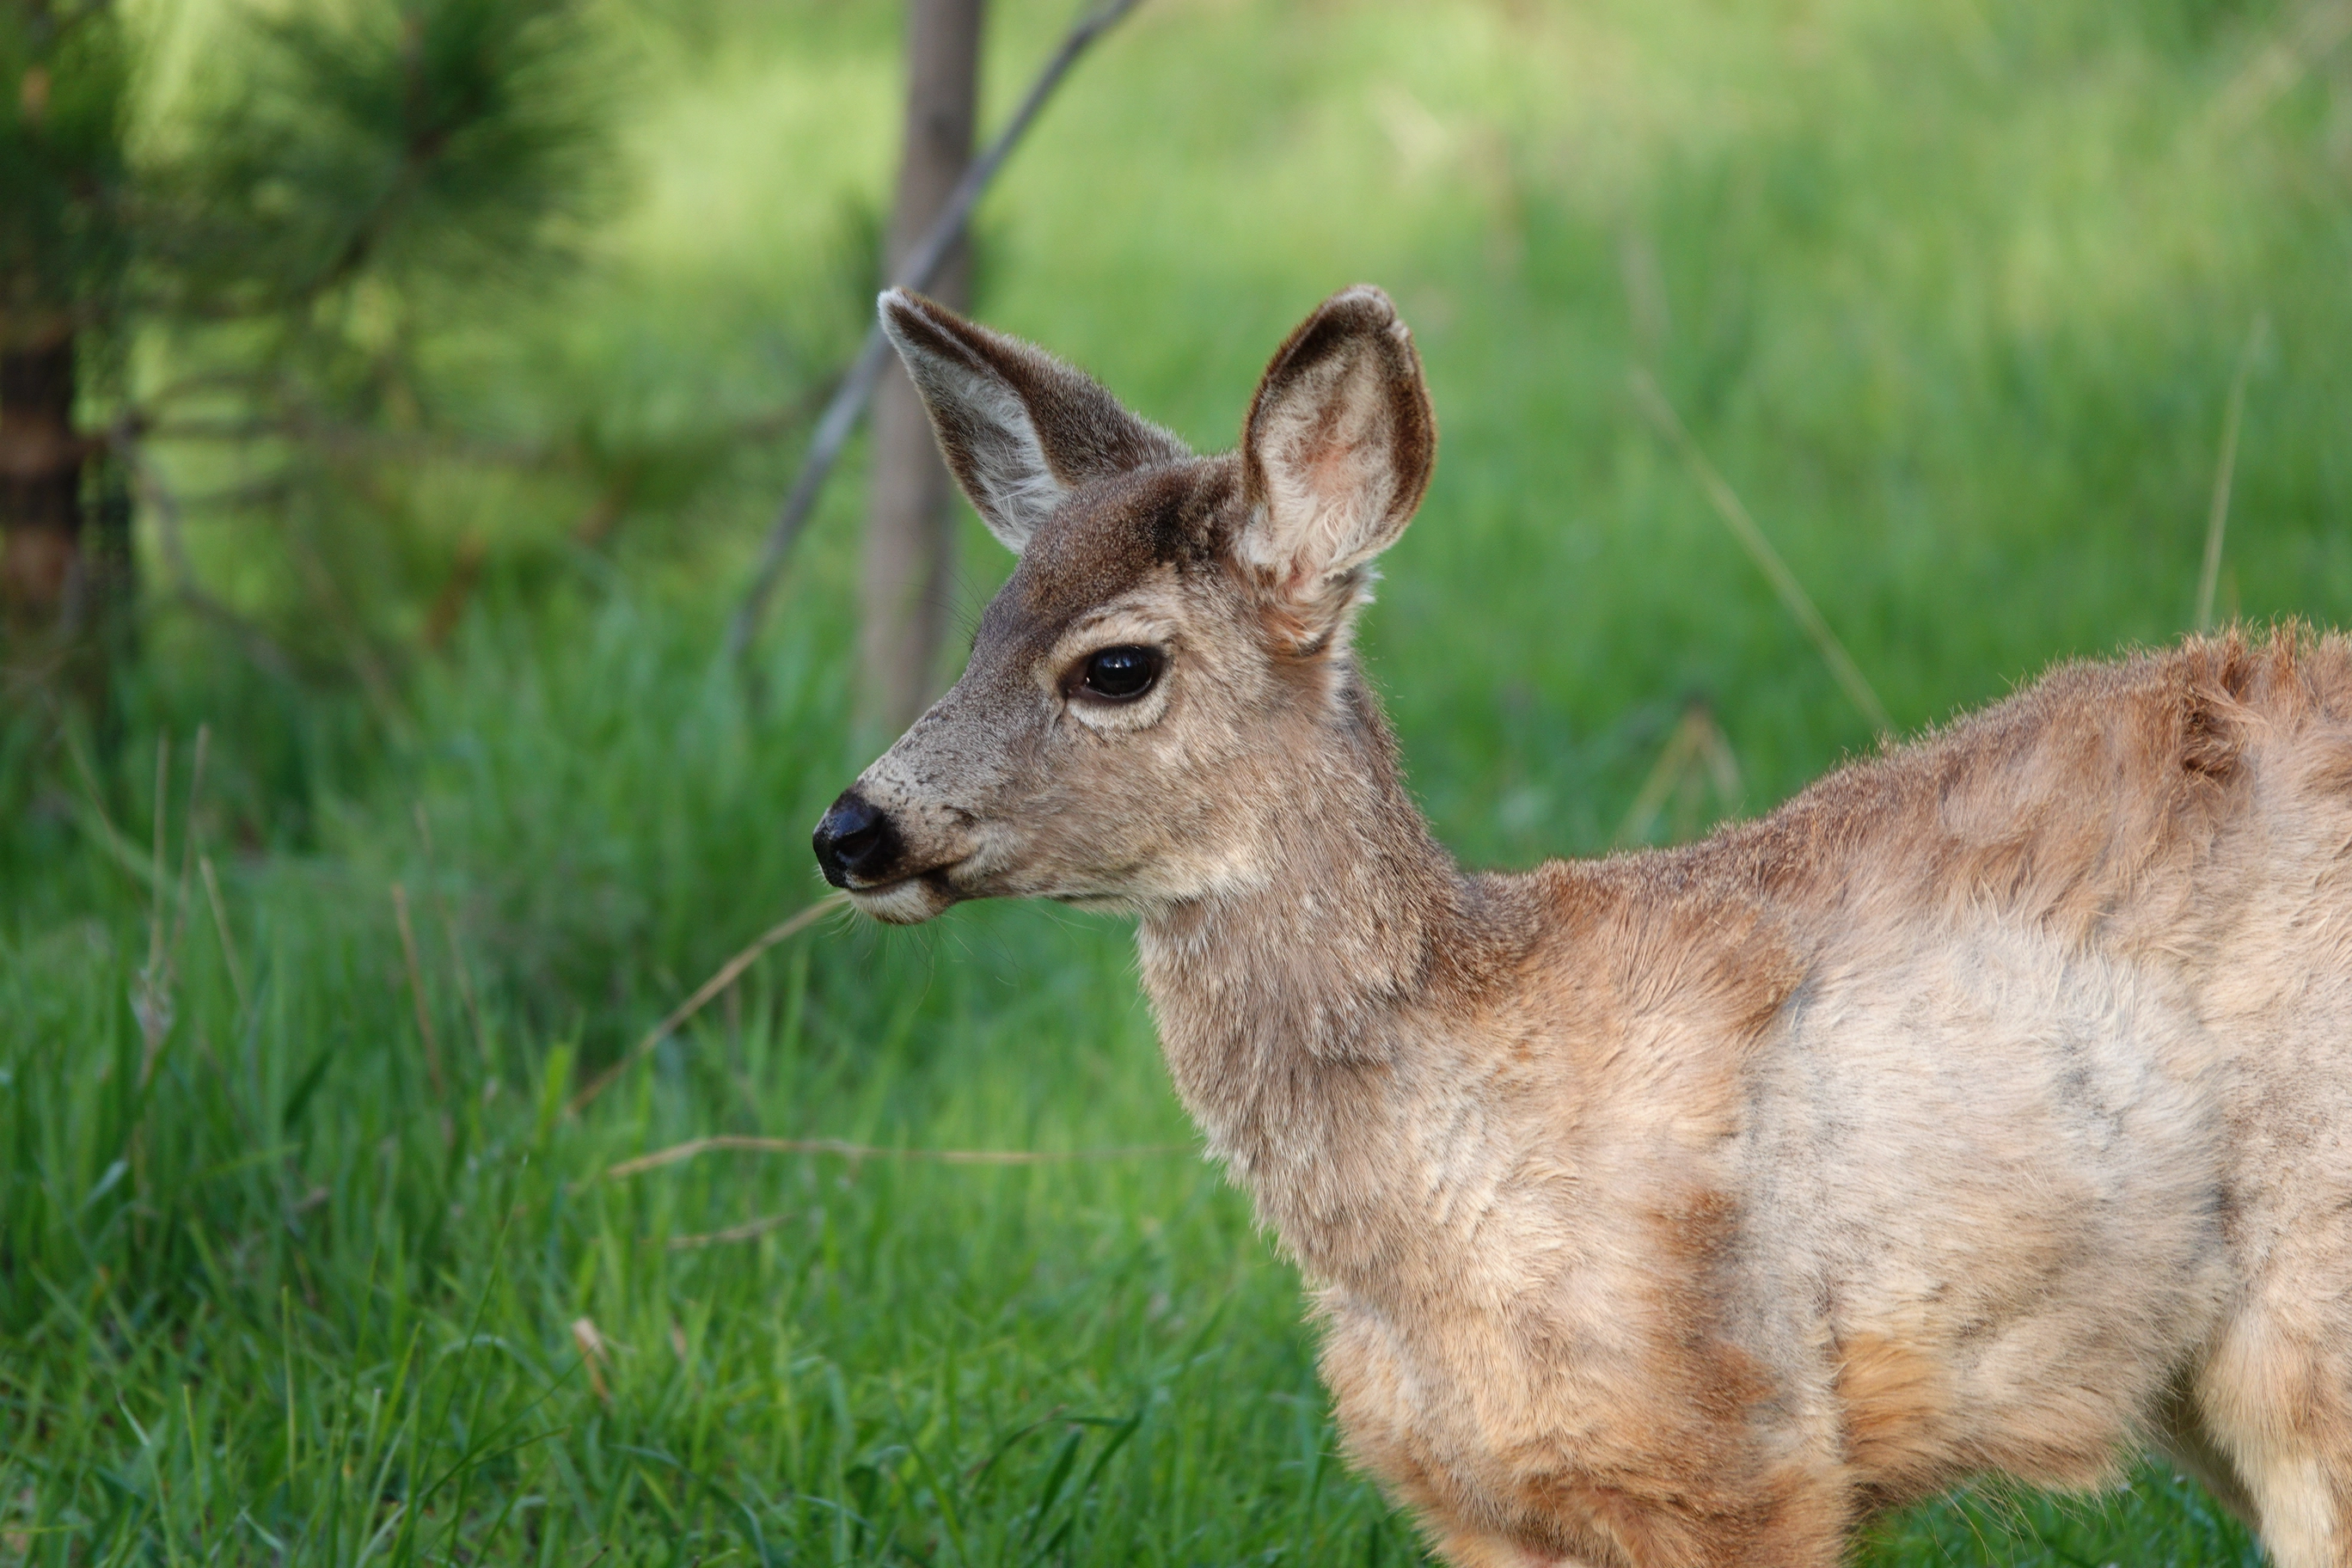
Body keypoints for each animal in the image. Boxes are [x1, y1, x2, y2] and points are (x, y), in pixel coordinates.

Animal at [811, 283, 2352, 1568]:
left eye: (1116, 666)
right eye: (976, 634)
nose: (849, 828)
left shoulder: (1737, 1453)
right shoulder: (1485, 1505)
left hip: (2314, 1324)